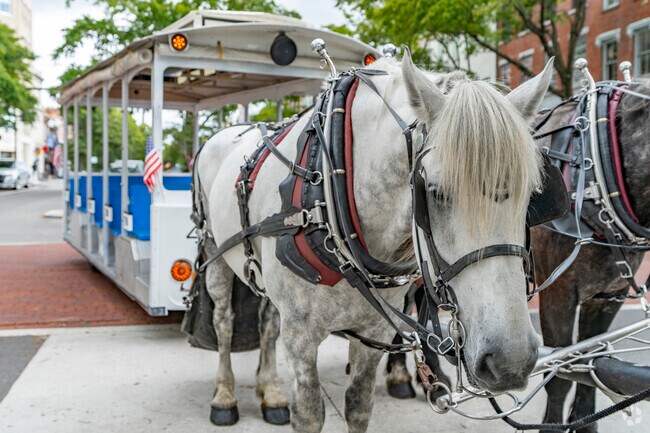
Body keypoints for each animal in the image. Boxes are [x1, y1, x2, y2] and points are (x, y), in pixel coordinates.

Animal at [195, 49, 554, 432]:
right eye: (434, 192)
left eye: (533, 195)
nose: (510, 360)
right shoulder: (300, 336)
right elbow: (309, 414)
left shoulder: (375, 332)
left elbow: (358, 405)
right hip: (215, 254)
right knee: (224, 322)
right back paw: (224, 396)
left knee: (267, 323)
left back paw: (271, 393)